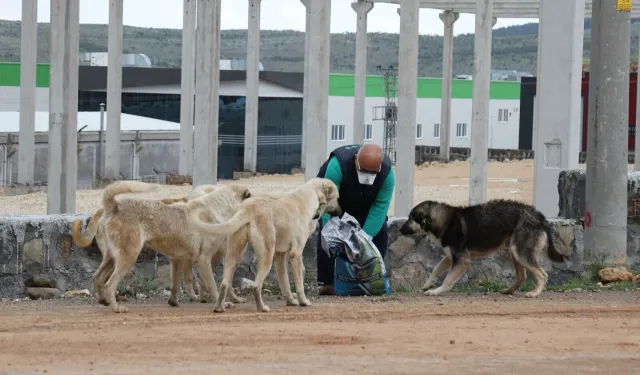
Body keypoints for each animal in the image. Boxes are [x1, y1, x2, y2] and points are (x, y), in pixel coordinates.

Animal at [188, 178, 342, 314]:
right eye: (337, 197)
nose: (341, 212)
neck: (305, 197)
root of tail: (248, 209)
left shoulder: (280, 256)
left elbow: (285, 283)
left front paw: (291, 301)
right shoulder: (295, 255)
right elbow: (299, 284)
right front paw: (303, 301)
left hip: (234, 254)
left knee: (224, 283)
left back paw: (219, 307)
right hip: (266, 256)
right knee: (256, 285)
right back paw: (262, 308)